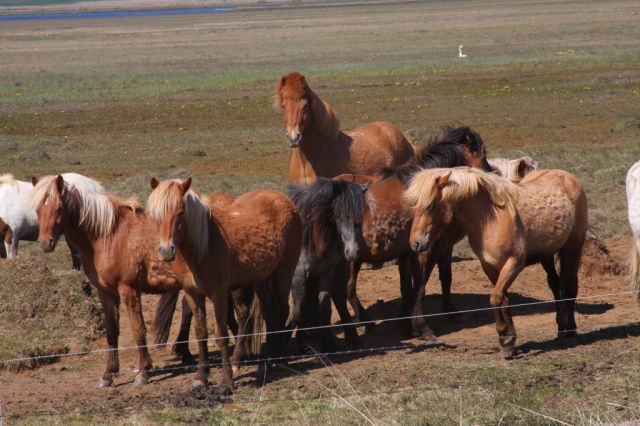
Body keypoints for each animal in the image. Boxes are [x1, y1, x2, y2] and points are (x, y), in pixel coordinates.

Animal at [32, 173, 194, 388]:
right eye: (37, 209)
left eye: (59, 208)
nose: (45, 243)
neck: (109, 237)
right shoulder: (105, 293)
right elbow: (111, 332)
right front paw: (108, 374)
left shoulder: (128, 290)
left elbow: (138, 329)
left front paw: (143, 372)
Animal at [147, 177, 302, 392]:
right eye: (155, 214)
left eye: (180, 212)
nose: (166, 251)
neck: (202, 247)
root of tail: (283, 199)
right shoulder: (192, 293)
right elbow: (201, 332)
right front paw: (201, 377)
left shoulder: (219, 293)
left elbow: (221, 334)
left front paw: (227, 380)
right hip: (261, 279)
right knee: (269, 314)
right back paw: (266, 361)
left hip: (284, 273)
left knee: (282, 311)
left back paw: (276, 358)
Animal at [287, 177, 368, 351]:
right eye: (338, 216)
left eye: (359, 218)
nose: (352, 252)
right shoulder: (298, 276)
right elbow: (297, 311)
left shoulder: (325, 273)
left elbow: (324, 307)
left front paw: (328, 344)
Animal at [406, 167, 588, 357]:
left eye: (430, 205)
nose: (415, 243)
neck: (492, 221)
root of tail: (569, 178)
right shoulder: (489, 266)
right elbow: (503, 299)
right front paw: (508, 340)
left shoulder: (514, 263)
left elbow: (495, 298)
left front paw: (504, 337)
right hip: (546, 255)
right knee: (555, 284)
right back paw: (561, 329)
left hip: (573, 248)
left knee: (570, 287)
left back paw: (571, 332)